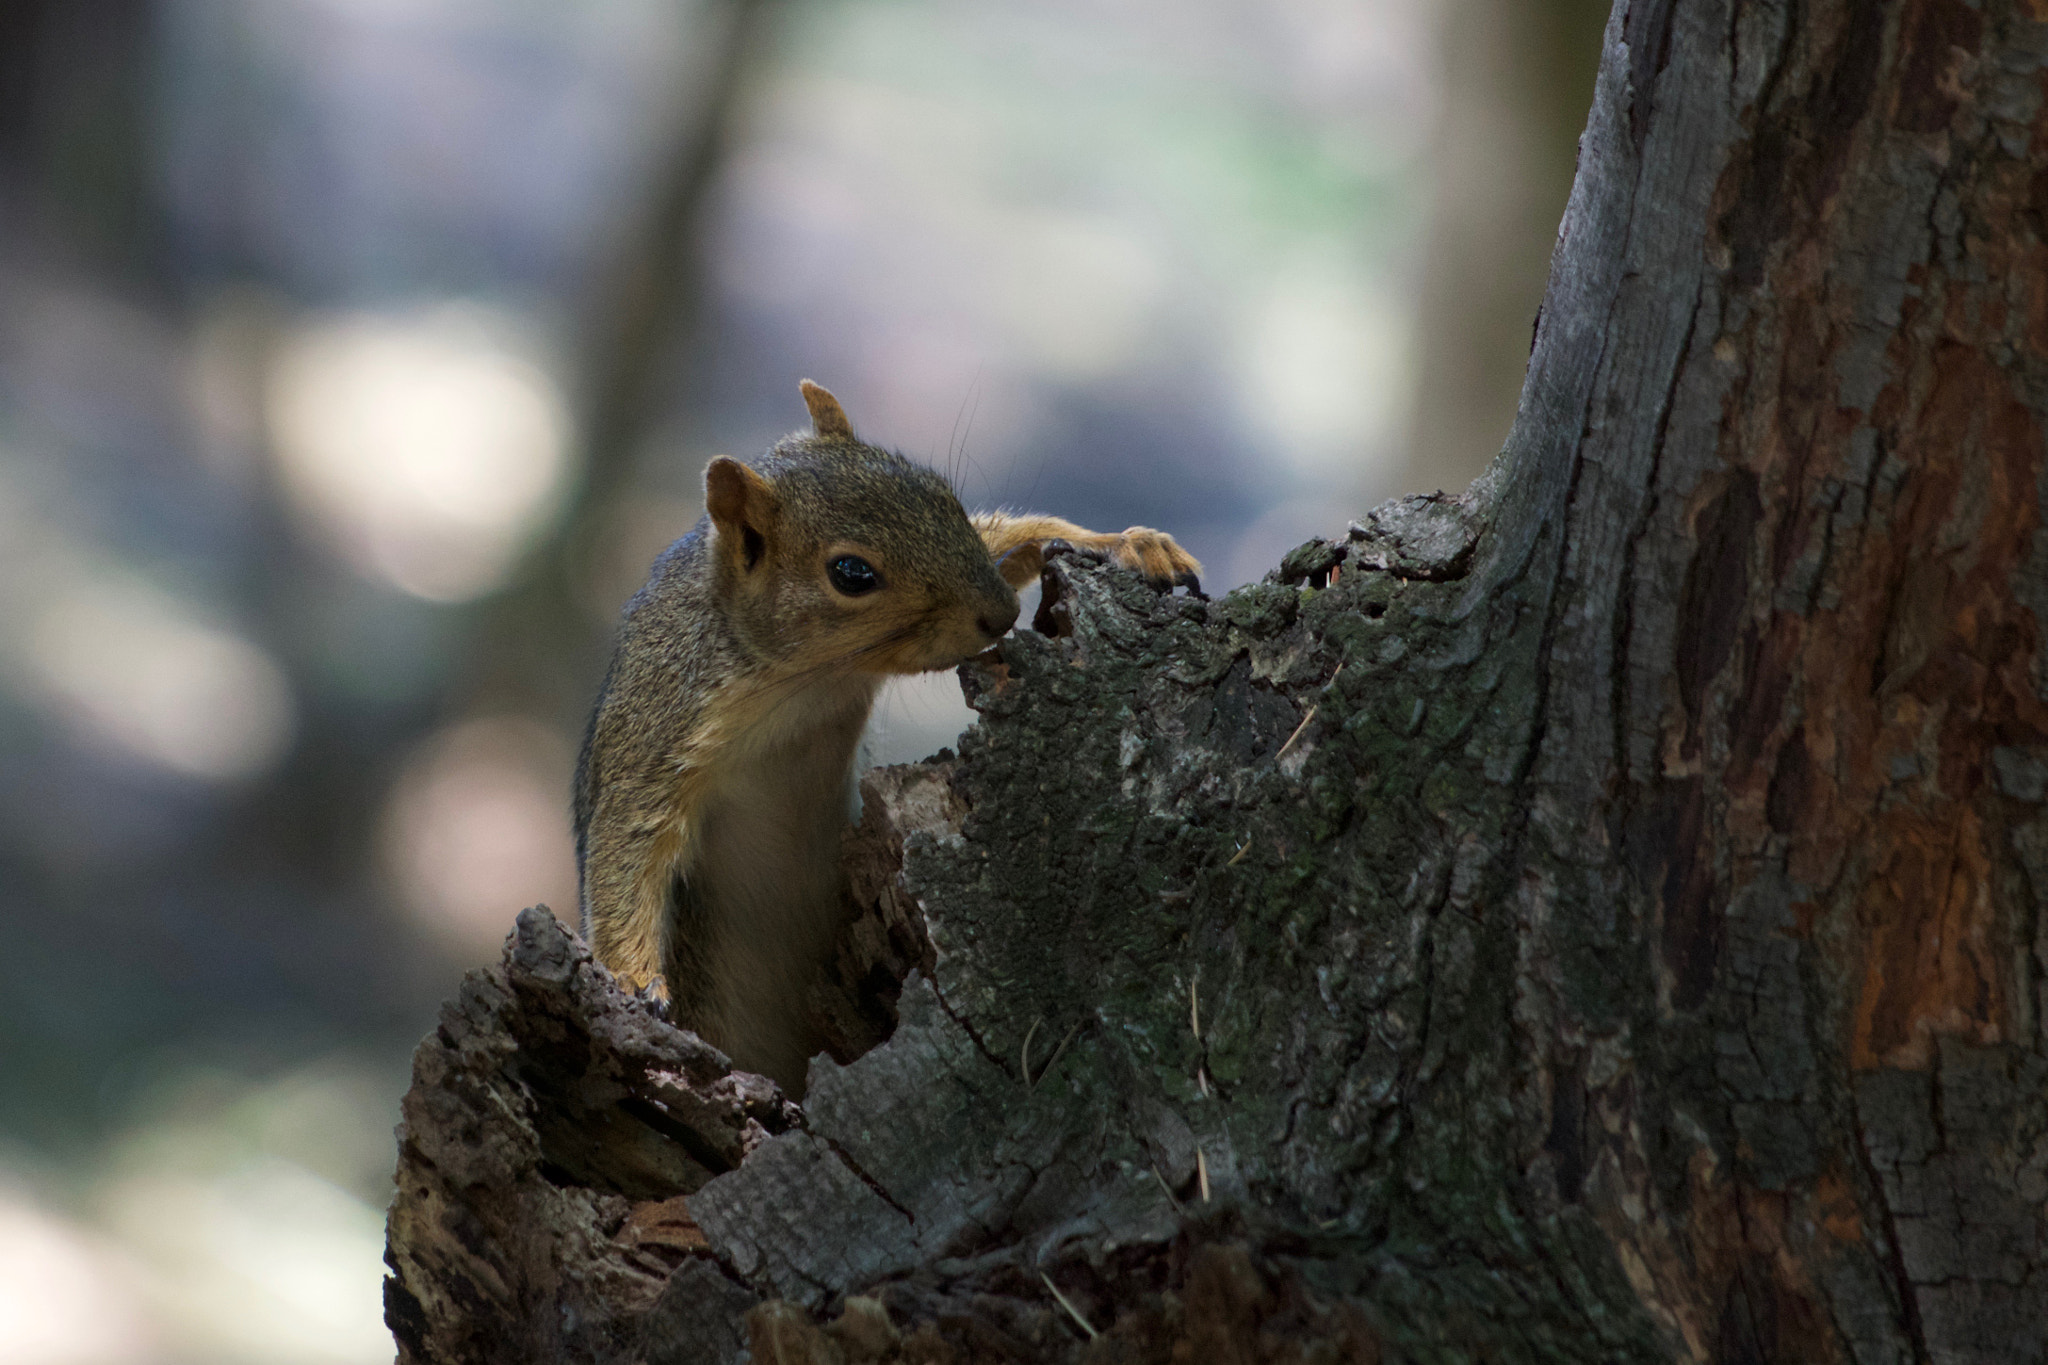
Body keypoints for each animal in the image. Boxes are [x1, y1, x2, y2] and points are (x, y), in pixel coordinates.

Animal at [573, 378, 1196, 1096]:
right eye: (852, 574)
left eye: (942, 494)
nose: (1002, 614)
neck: (811, 683)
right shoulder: (661, 722)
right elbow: (627, 841)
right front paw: (632, 979)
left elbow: (1014, 535)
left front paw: (1127, 543)